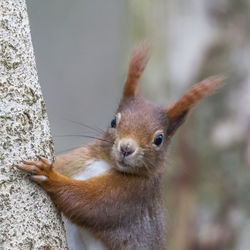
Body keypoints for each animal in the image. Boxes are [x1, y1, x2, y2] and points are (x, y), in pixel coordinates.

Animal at [14, 43, 225, 250]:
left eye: (159, 139)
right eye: (113, 121)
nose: (126, 148)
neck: (105, 164)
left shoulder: (131, 196)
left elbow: (88, 204)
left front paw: (48, 174)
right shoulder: (76, 160)